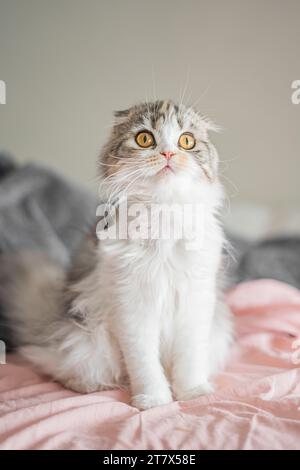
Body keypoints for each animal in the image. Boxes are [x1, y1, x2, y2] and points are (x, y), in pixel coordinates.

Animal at [0, 101, 233, 410]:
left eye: (187, 141)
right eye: (145, 139)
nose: (168, 153)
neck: (162, 215)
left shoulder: (196, 300)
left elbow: (189, 358)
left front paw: (193, 392)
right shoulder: (131, 306)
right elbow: (144, 364)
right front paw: (153, 400)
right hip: (85, 342)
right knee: (61, 366)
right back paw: (87, 386)